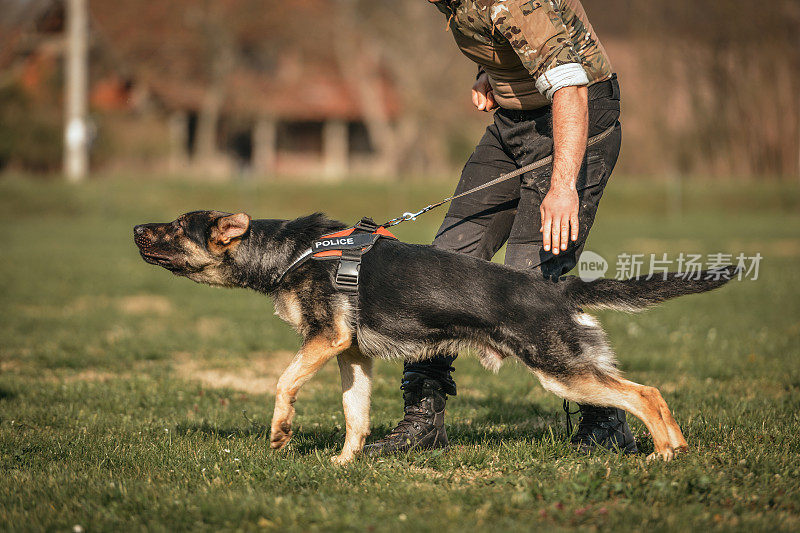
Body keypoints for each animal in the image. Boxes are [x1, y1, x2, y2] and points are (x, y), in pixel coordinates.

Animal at [133, 210, 736, 464]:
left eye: (174, 227)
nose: (136, 228)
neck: (289, 250)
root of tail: (558, 289)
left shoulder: (325, 340)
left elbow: (283, 383)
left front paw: (281, 435)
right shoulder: (350, 356)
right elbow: (355, 416)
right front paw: (344, 465)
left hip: (561, 373)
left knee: (645, 394)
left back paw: (664, 454)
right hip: (571, 371)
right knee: (646, 394)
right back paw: (678, 450)